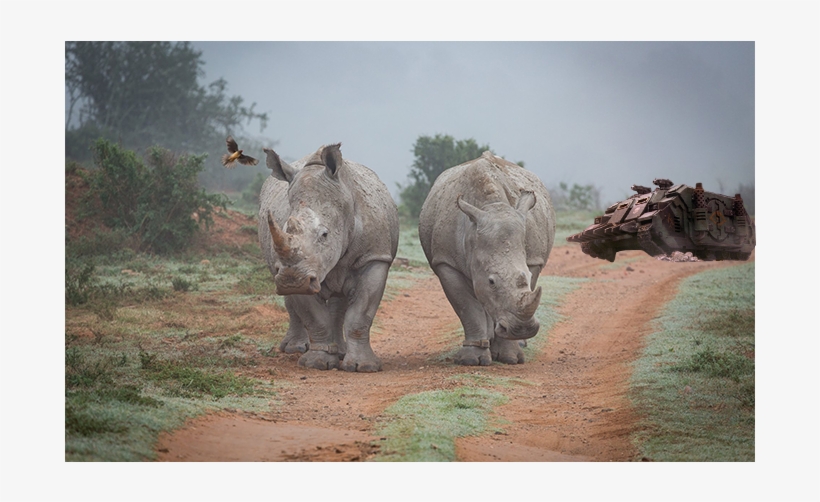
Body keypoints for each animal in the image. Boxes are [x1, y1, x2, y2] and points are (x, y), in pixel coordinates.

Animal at [258, 143, 399, 372]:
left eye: (324, 235)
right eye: (286, 229)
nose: (291, 280)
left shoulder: (374, 257)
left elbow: (360, 314)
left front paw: (363, 367)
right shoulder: (299, 271)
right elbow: (314, 317)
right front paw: (316, 363)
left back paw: (340, 351)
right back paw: (294, 349)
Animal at [419, 151, 556, 365]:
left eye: (526, 275)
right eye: (491, 281)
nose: (523, 329)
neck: (492, 206)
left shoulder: (534, 259)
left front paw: (510, 357)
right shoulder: (446, 262)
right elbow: (467, 307)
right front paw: (471, 360)